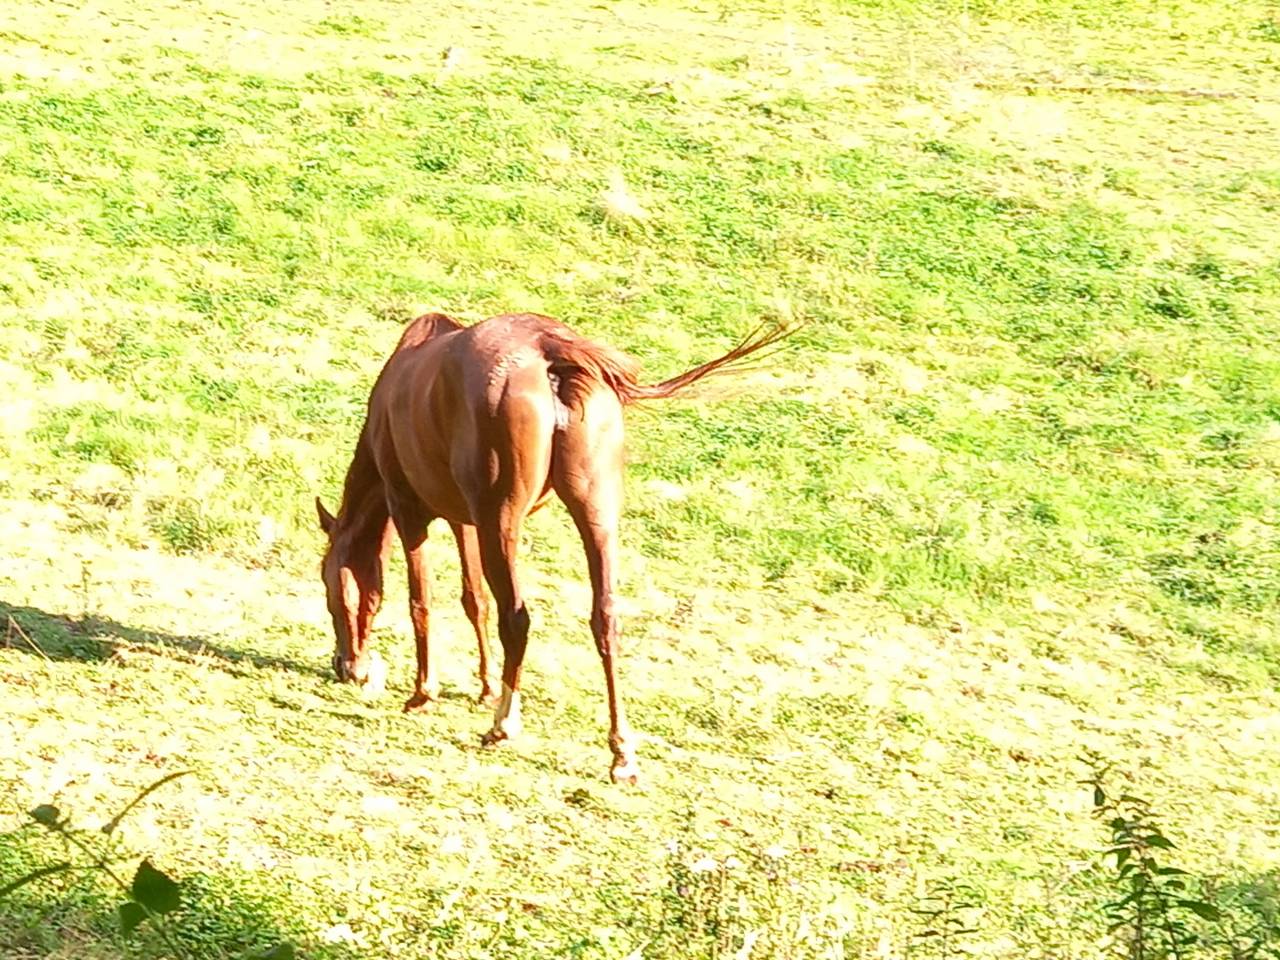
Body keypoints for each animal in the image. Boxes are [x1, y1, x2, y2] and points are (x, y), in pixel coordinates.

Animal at [315, 311, 791, 783]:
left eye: (328, 587)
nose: (346, 667)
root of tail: (551, 350)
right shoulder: (464, 520)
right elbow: (474, 600)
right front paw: (485, 686)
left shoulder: (409, 511)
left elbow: (422, 603)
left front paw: (423, 694)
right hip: (594, 512)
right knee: (605, 619)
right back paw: (621, 753)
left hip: (503, 521)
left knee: (516, 618)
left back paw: (503, 725)